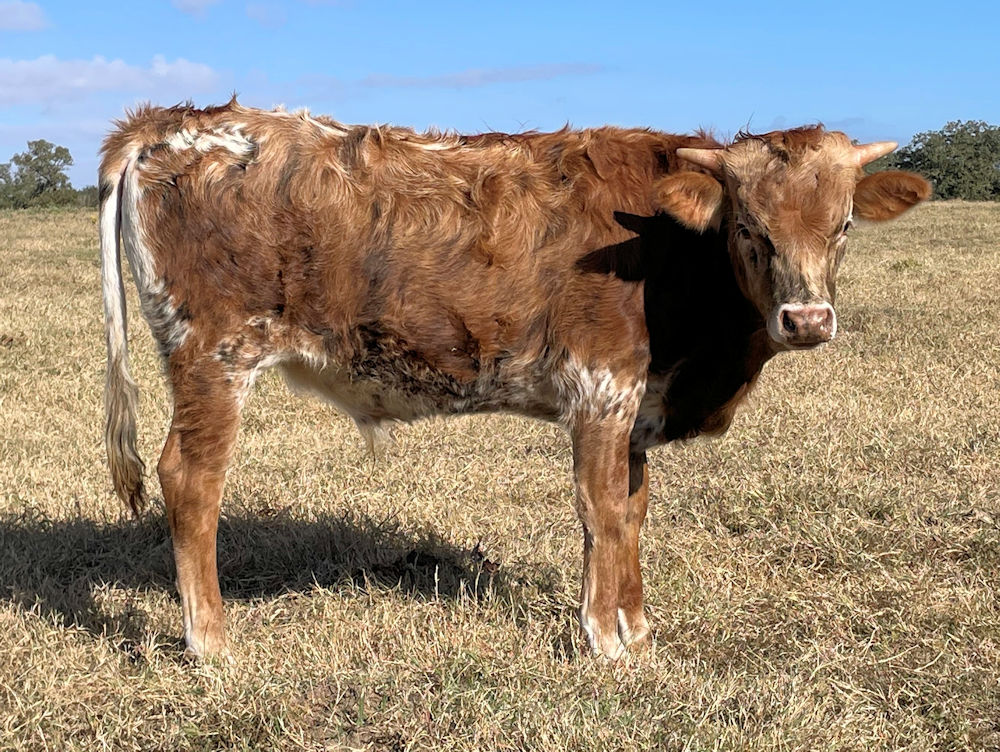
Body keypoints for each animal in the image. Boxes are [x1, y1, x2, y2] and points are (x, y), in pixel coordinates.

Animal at [98, 100, 930, 660]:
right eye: (750, 230)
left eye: (844, 226)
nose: (807, 319)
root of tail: (169, 123)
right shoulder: (599, 390)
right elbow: (600, 513)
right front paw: (604, 642)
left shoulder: (638, 407)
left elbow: (632, 513)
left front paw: (637, 630)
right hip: (213, 354)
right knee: (192, 481)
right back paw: (211, 644)